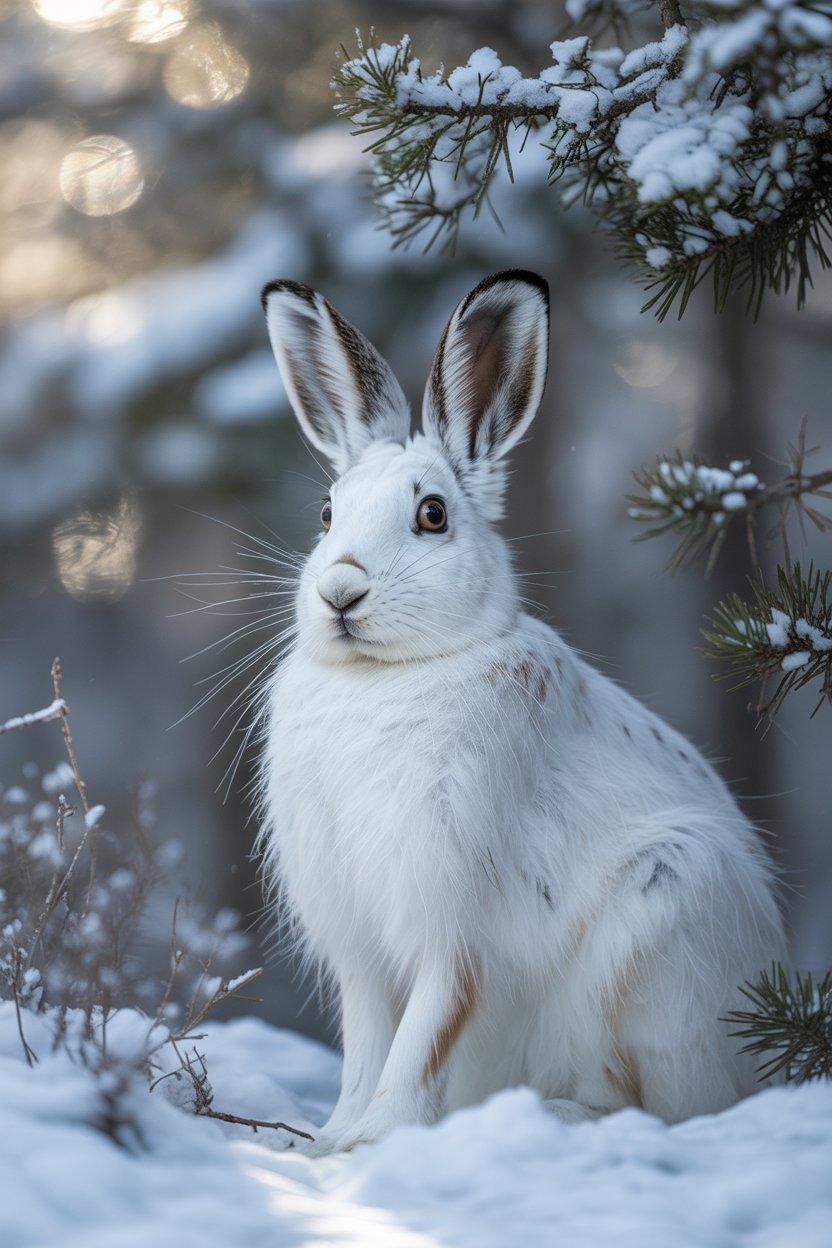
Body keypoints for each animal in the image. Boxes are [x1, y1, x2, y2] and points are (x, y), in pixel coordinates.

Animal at [256, 269, 786, 1156]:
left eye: (432, 515)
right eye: (327, 515)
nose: (339, 592)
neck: (386, 677)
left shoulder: (455, 921)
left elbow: (424, 1036)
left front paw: (377, 1142)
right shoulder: (359, 948)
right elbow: (366, 1044)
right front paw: (327, 1141)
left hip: (667, 915)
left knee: (676, 1110)